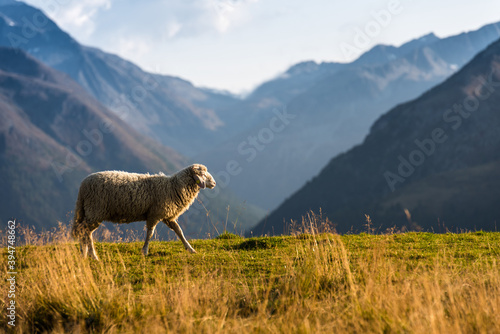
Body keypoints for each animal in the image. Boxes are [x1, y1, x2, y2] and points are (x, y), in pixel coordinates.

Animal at [71, 163, 216, 260]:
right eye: (202, 175)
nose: (214, 183)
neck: (173, 186)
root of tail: (83, 186)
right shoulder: (154, 214)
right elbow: (150, 233)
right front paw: (145, 251)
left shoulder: (168, 216)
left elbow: (179, 231)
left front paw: (190, 249)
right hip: (95, 210)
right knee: (83, 230)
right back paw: (91, 255)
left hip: (90, 212)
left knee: (84, 231)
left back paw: (84, 253)